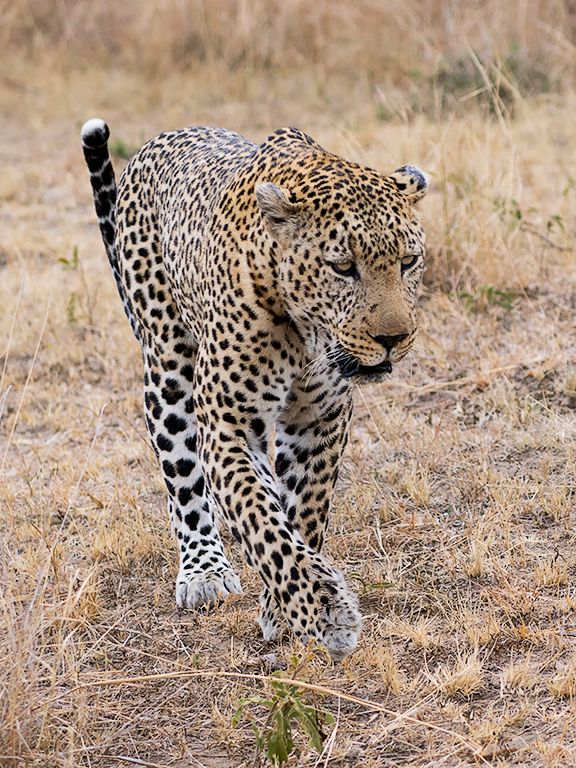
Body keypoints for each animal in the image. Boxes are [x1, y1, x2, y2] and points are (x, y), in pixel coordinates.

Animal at [81, 118, 427, 659]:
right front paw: (322, 611)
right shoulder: (227, 425)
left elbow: (303, 511)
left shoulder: (320, 421)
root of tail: (158, 141)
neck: (308, 333)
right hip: (168, 367)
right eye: (342, 267)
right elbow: (259, 515)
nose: (394, 339)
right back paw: (203, 569)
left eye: (408, 262)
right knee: (183, 474)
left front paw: (284, 609)